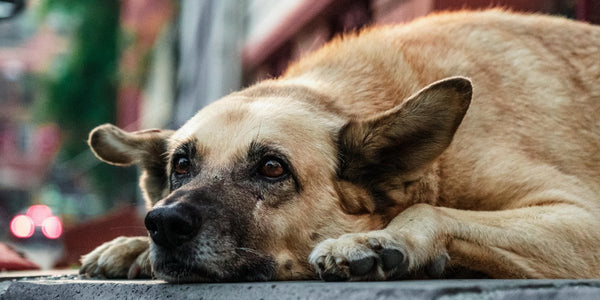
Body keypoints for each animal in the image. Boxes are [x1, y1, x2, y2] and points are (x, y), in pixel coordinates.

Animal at [79, 9, 600, 282]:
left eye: (273, 168)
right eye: (181, 166)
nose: (163, 224)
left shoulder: (582, 218)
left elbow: (428, 210)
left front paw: (380, 239)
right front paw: (132, 247)